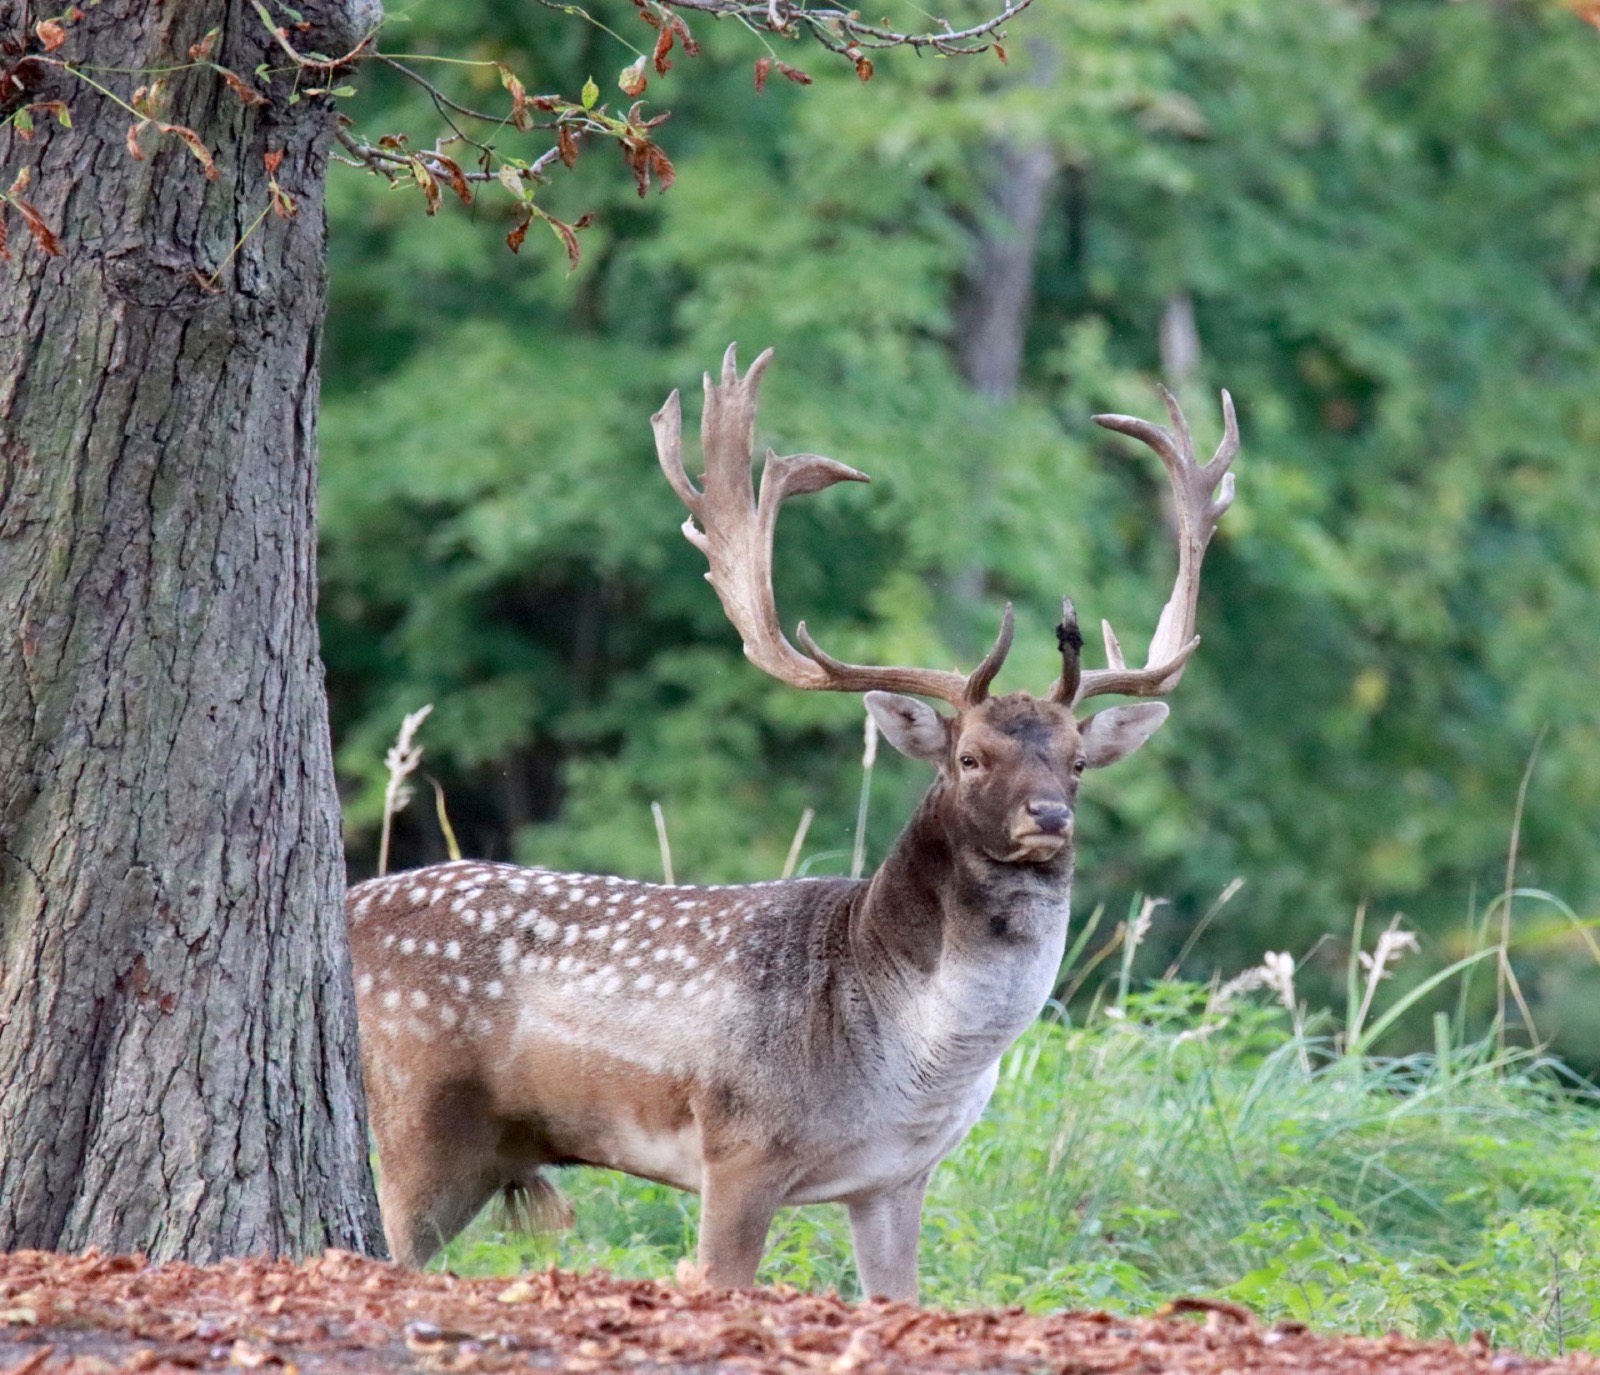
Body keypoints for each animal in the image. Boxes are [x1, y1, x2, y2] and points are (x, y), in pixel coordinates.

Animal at [346, 345, 1238, 1302]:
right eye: (970, 756)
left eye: (1077, 759)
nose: (1050, 814)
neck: (910, 1058)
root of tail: (345, 905)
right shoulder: (739, 1142)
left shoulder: (896, 1175)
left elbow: (901, 1297)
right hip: (418, 1116)